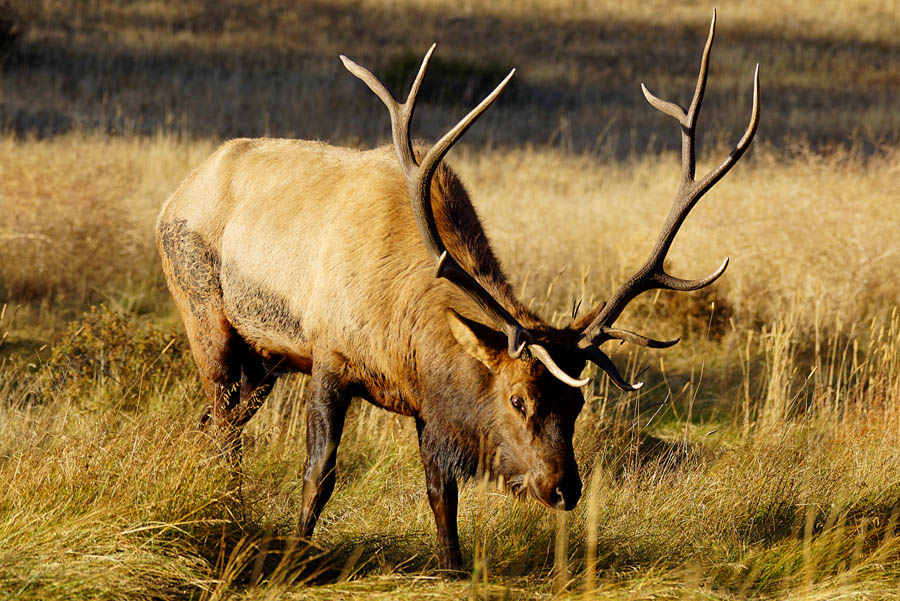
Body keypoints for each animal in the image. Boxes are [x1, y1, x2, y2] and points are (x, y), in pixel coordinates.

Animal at [156, 10, 760, 572]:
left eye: (578, 401)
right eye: (517, 398)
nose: (563, 488)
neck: (400, 327)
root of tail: (176, 194)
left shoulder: (430, 400)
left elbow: (440, 491)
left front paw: (452, 567)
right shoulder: (330, 356)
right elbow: (320, 472)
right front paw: (295, 556)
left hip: (265, 357)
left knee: (216, 423)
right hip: (205, 315)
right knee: (225, 427)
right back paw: (228, 510)